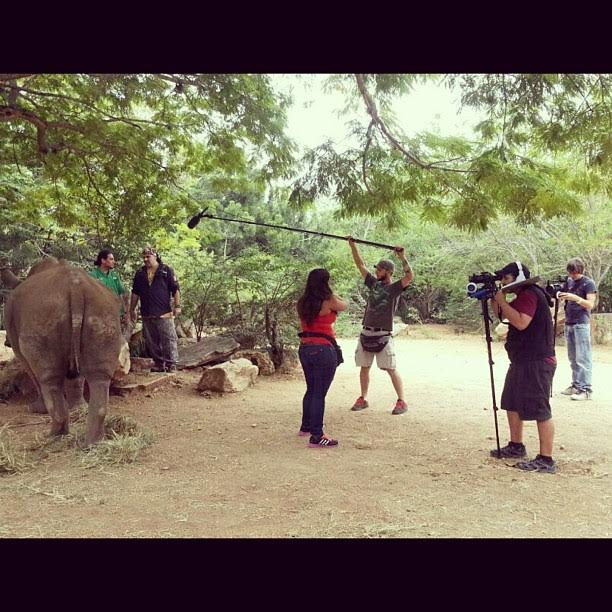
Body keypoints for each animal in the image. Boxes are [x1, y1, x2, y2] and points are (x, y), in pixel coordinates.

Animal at [3, 256, 123, 444]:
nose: (6, 343)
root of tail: (75, 287)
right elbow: (76, 379)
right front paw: (78, 407)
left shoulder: (18, 345)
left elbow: (33, 375)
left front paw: (36, 409)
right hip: (102, 308)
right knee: (99, 375)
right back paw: (92, 443)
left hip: (42, 312)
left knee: (48, 378)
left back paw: (54, 436)